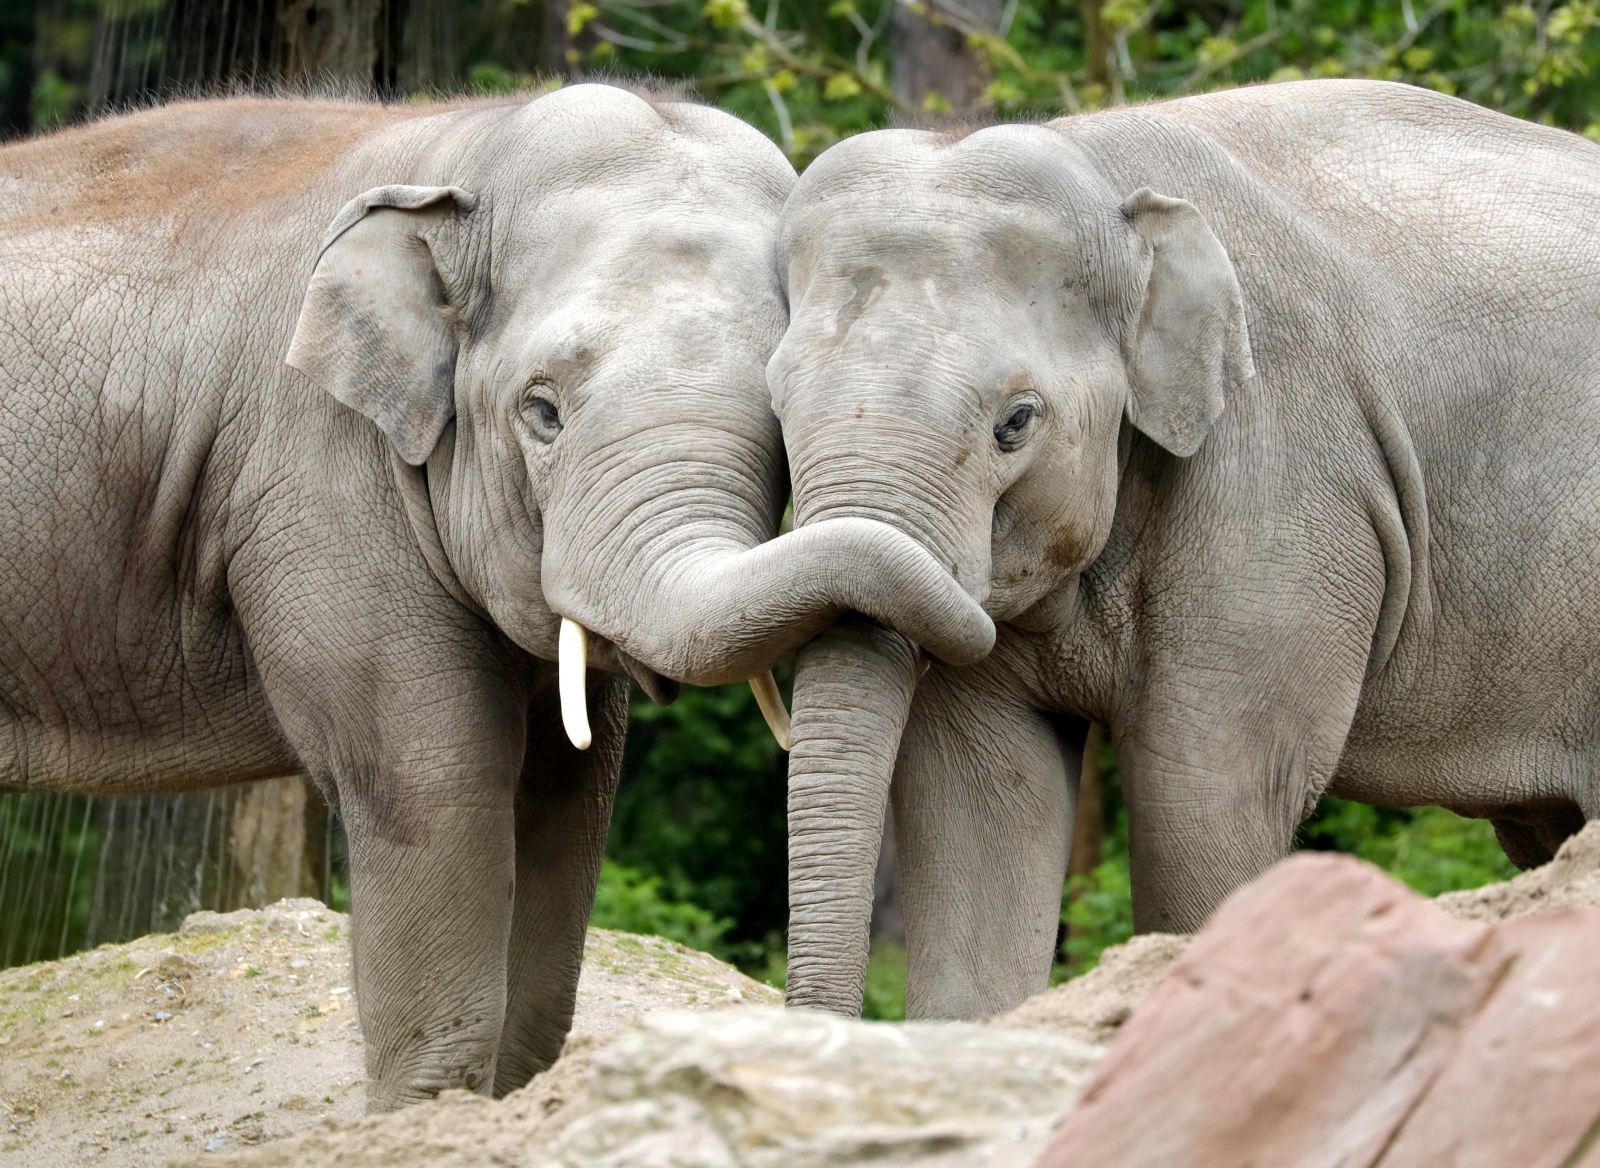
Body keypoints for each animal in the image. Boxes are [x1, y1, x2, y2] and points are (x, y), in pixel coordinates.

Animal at [0, 86, 992, 1107]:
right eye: (541, 412)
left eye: (779, 426)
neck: (468, 142)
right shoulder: (321, 478)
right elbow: (435, 776)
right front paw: (421, 1115)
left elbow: (570, 786)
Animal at [758, 77, 1600, 1017]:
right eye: (775, 406)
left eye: (1017, 422)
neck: (1107, 172)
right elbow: (979, 802)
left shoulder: (1282, 473)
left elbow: (1207, 802)